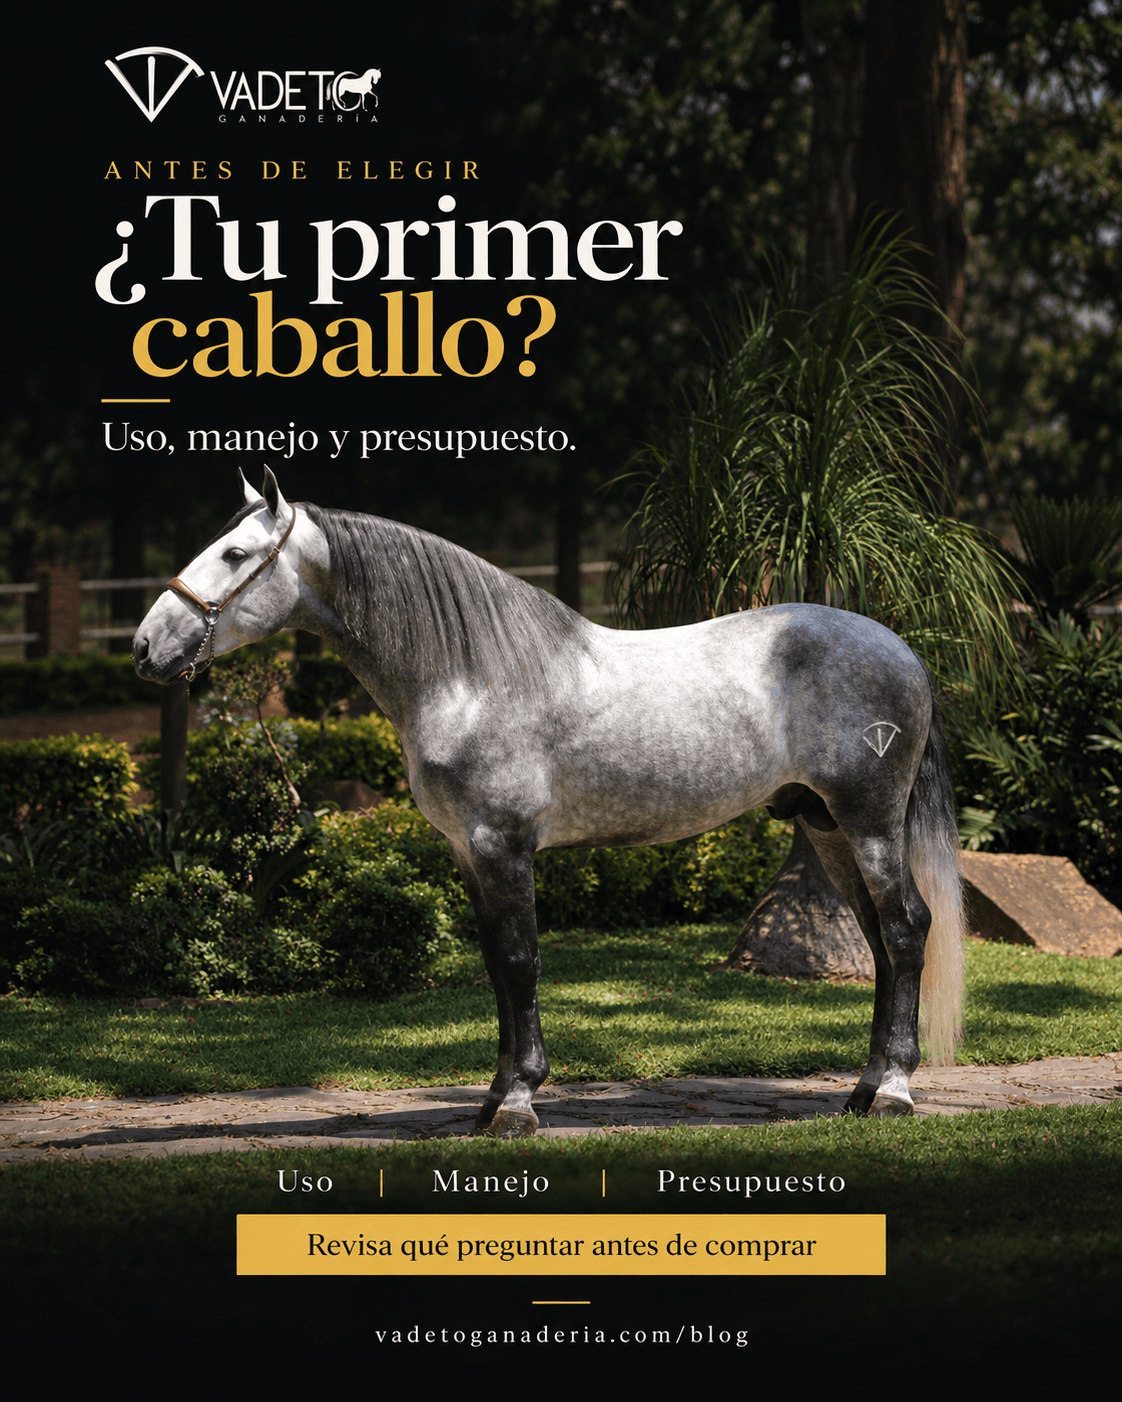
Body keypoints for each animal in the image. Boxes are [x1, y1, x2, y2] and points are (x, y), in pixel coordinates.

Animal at [133, 468, 965, 1137]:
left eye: (235, 555)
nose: (146, 646)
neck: (471, 678)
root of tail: (901, 651)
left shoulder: (503, 845)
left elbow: (520, 960)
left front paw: (518, 1104)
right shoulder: (468, 851)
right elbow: (499, 969)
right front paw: (493, 1100)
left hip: (870, 823)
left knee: (906, 930)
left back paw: (894, 1091)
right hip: (826, 827)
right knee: (880, 941)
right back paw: (862, 1089)